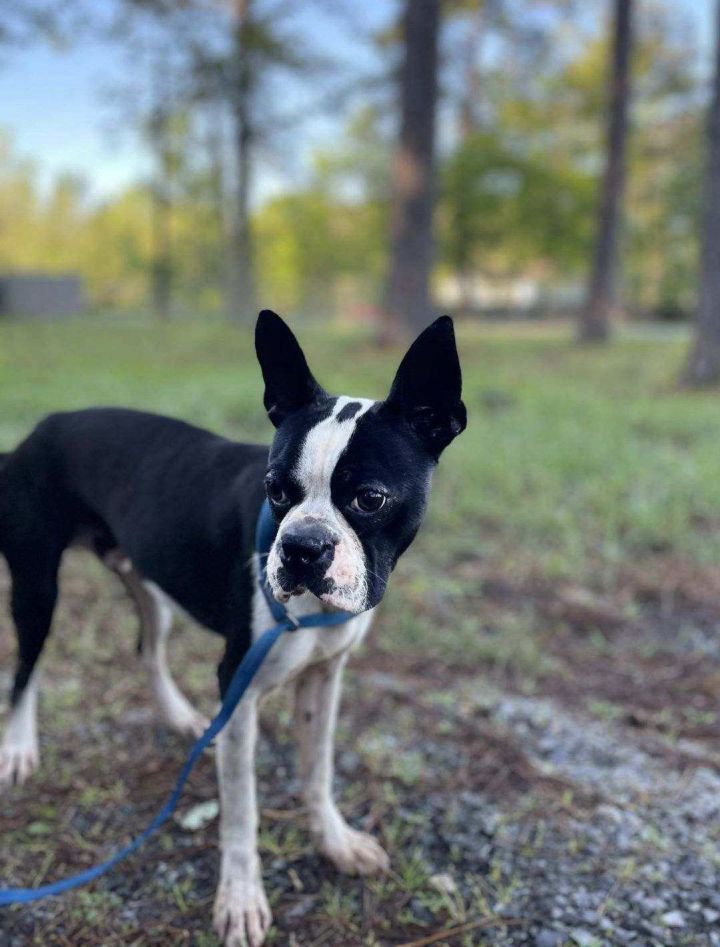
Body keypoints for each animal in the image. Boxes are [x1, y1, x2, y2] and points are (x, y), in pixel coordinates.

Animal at [0, 312, 466, 947]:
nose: (302, 547)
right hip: (36, 585)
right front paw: (241, 899)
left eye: (370, 499)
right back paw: (19, 747)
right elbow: (242, 807)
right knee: (26, 667)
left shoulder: (324, 676)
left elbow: (316, 769)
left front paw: (334, 842)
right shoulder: (239, 689)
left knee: (147, 649)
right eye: (276, 490)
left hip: (147, 583)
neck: (309, 611)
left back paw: (180, 718)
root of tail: (33, 433)